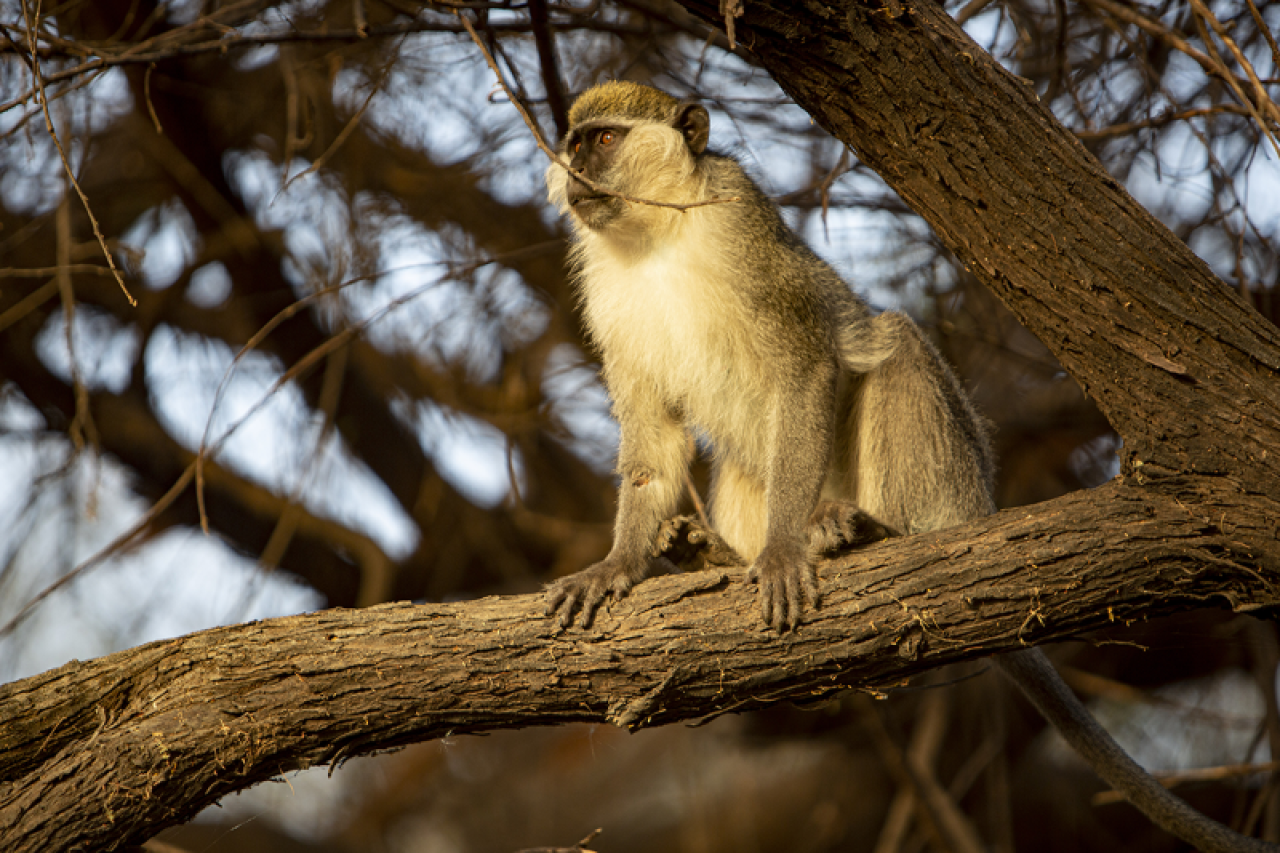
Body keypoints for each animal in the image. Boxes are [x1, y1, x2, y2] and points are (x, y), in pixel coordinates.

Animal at [542, 81, 1280, 850]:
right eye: (574, 143)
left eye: (603, 141)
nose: (574, 174)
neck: (654, 236)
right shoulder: (609, 294)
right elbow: (654, 444)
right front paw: (617, 565)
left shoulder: (738, 224)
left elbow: (808, 367)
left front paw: (781, 550)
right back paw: (712, 552)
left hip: (951, 479)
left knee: (893, 345)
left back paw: (873, 533)